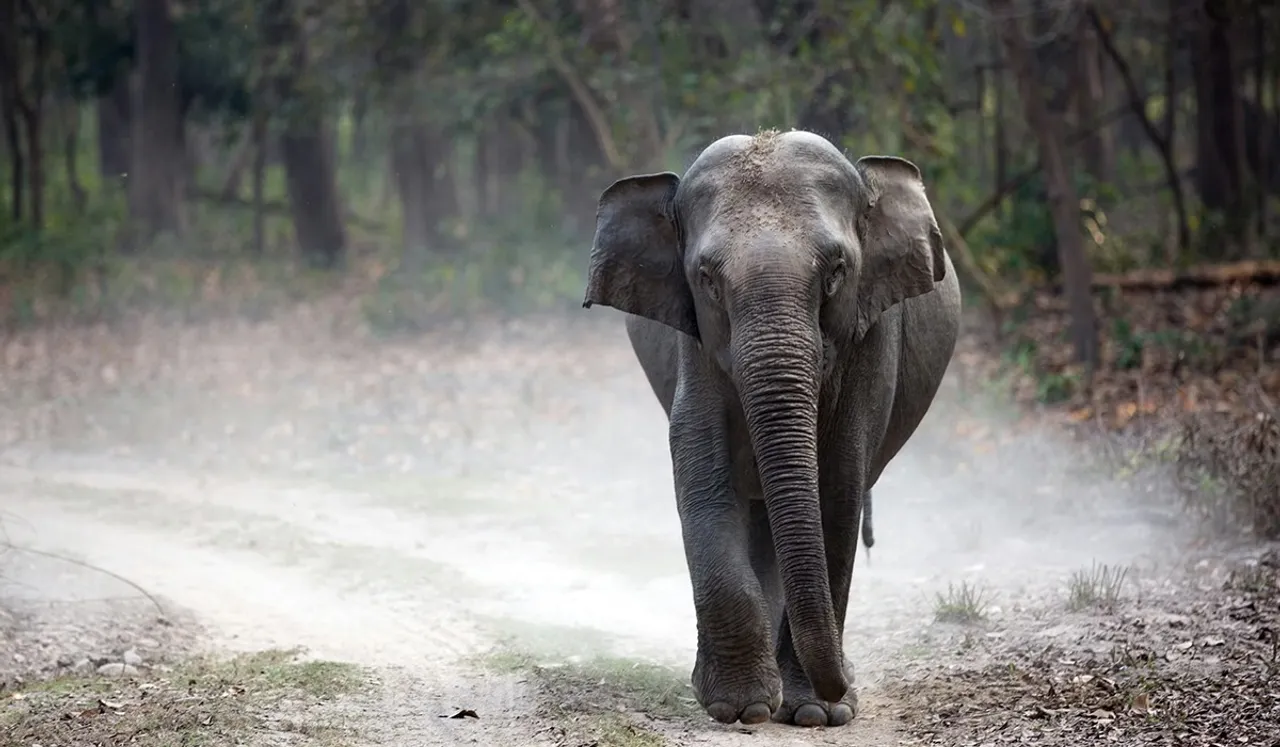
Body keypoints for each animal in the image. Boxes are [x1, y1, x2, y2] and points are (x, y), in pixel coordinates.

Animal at [581, 129, 961, 728]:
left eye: (836, 272)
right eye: (706, 279)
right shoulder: (695, 345)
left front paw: (815, 714)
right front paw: (742, 708)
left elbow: (838, 488)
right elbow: (704, 476)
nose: (842, 686)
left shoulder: (871, 337)